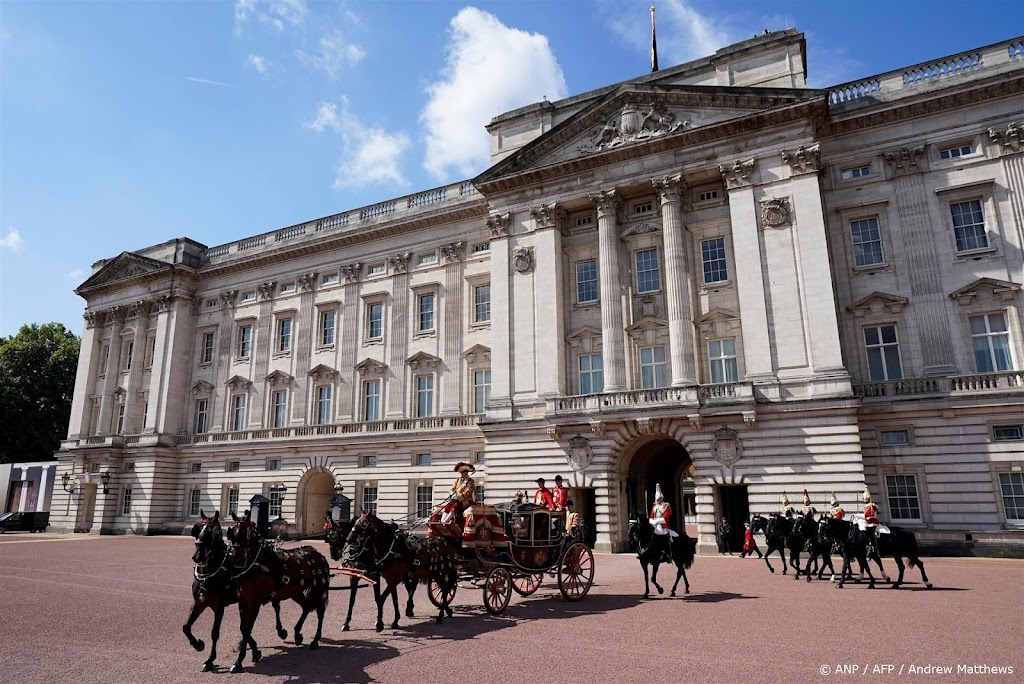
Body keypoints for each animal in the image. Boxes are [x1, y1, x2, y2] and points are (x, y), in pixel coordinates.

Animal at [182, 510, 288, 672]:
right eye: (198, 529)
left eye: (213, 532)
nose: (197, 555)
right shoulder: (199, 602)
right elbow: (186, 626)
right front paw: (198, 644)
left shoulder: (219, 607)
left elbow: (215, 633)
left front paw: (210, 660)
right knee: (247, 624)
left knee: (275, 607)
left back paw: (280, 631)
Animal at [225, 510, 331, 673]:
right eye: (232, 533)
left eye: (246, 534)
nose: (237, 562)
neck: (258, 563)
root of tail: (318, 554)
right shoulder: (243, 601)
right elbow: (243, 627)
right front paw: (252, 652)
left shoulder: (254, 602)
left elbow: (247, 628)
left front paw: (239, 660)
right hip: (296, 592)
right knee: (306, 607)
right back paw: (297, 633)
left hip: (317, 591)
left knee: (320, 612)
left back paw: (315, 640)